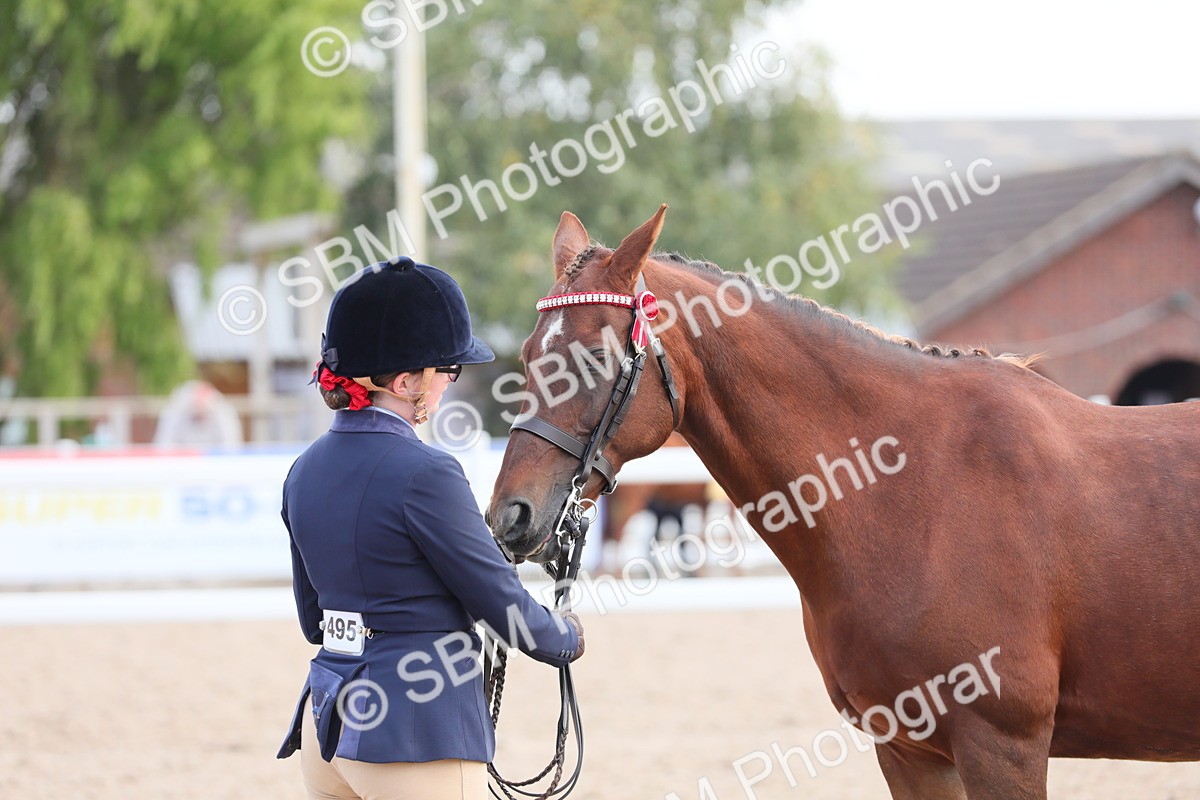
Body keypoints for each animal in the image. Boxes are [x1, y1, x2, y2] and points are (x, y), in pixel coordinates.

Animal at [486, 206, 1200, 799]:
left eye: (593, 356)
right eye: (527, 354)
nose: (508, 516)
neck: (917, 489)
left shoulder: (1003, 747)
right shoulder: (912, 752)